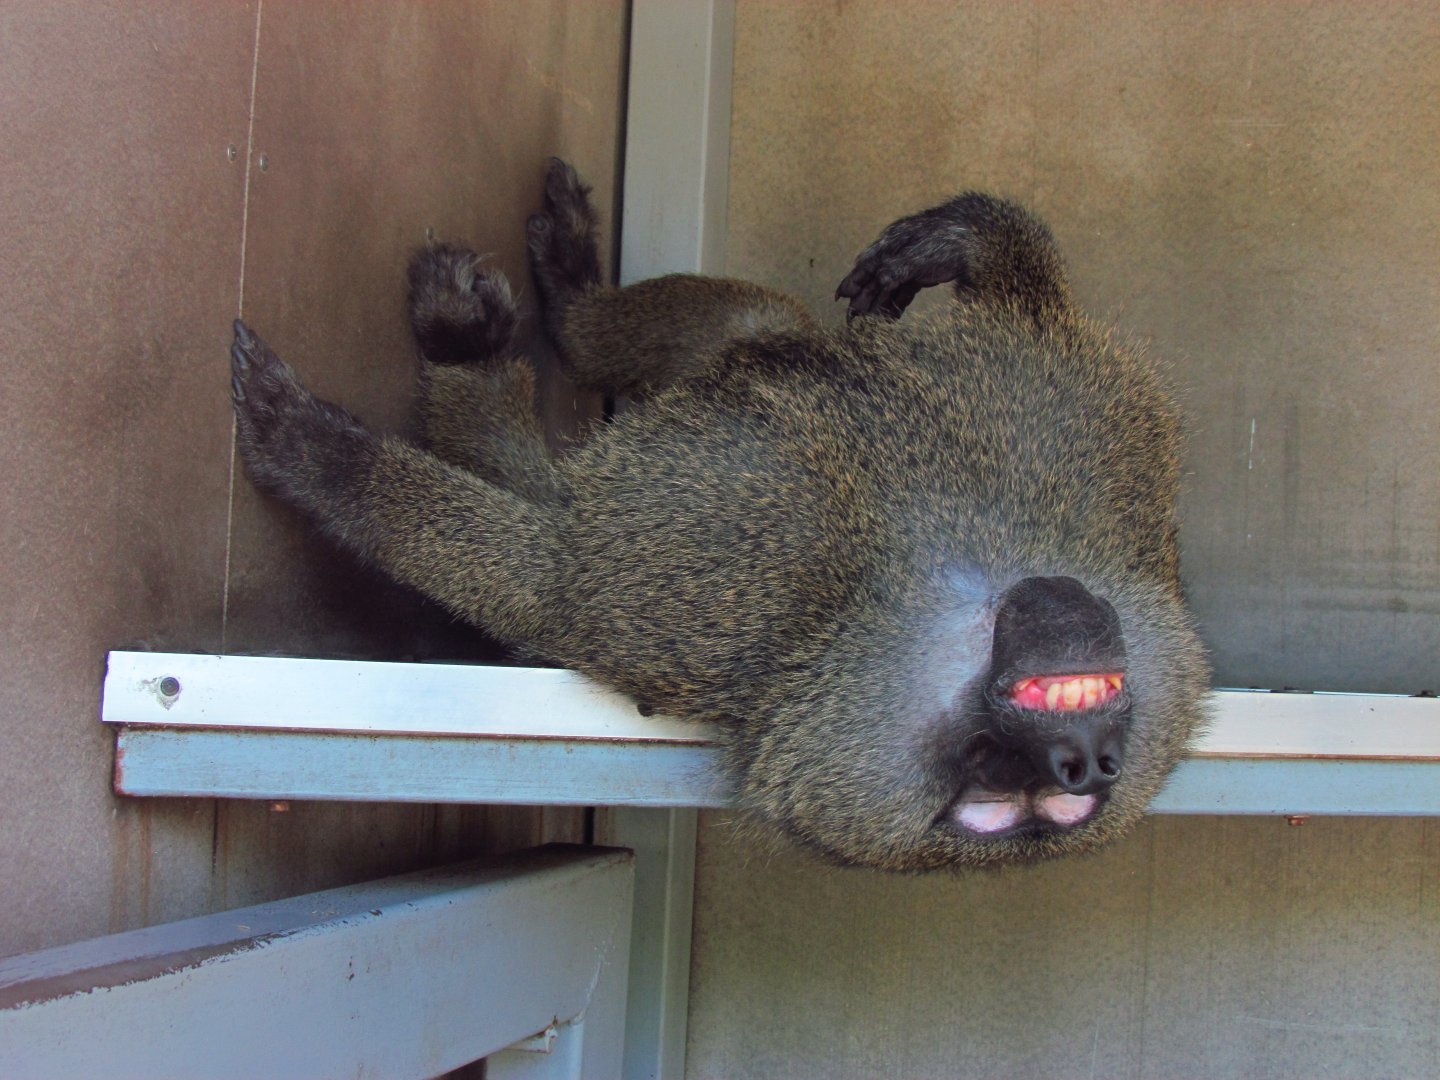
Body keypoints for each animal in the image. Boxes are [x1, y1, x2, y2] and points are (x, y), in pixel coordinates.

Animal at [230, 159, 1210, 871]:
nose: (1083, 755)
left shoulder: (732, 595)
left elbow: (551, 579)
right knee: (750, 327)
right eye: (1048, 773)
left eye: (1002, 780)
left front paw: (315, 453)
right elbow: (1027, 297)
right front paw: (964, 237)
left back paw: (481, 348)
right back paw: (570, 310)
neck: (947, 566)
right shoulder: (1117, 445)